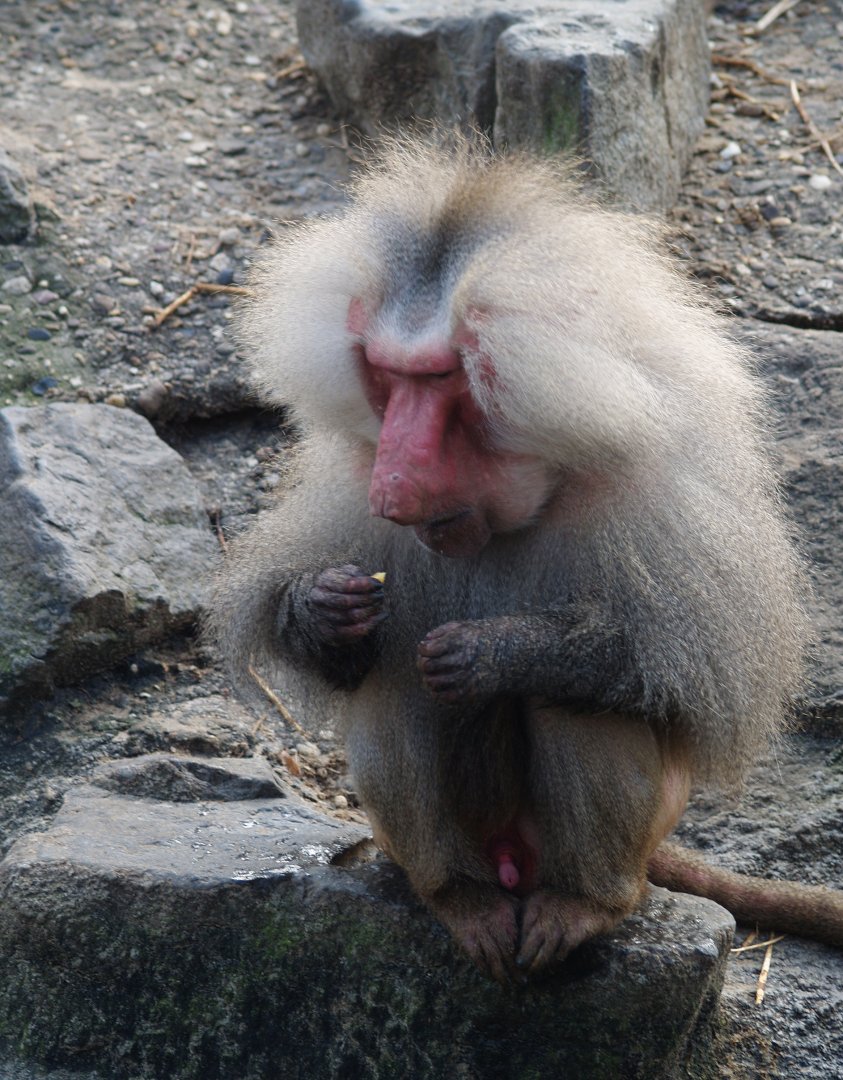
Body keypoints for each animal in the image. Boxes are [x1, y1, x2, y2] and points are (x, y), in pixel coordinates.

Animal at [212, 135, 841, 982]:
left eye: (440, 377)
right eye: (384, 375)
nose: (391, 486)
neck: (538, 484)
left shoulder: (670, 491)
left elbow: (687, 677)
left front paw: (494, 650)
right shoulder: (348, 472)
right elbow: (354, 660)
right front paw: (323, 610)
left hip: (625, 839)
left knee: (576, 699)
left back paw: (583, 905)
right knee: (397, 683)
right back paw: (459, 898)